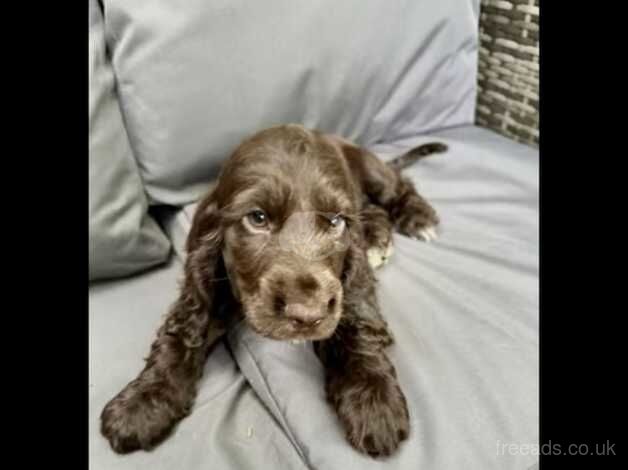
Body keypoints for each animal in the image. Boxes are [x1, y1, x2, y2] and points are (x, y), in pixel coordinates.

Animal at [100, 125, 444, 458]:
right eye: (257, 218)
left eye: (335, 222)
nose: (307, 315)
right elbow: (183, 329)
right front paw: (142, 402)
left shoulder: (349, 274)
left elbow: (357, 318)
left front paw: (374, 399)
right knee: (375, 208)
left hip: (373, 172)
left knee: (398, 187)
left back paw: (418, 218)